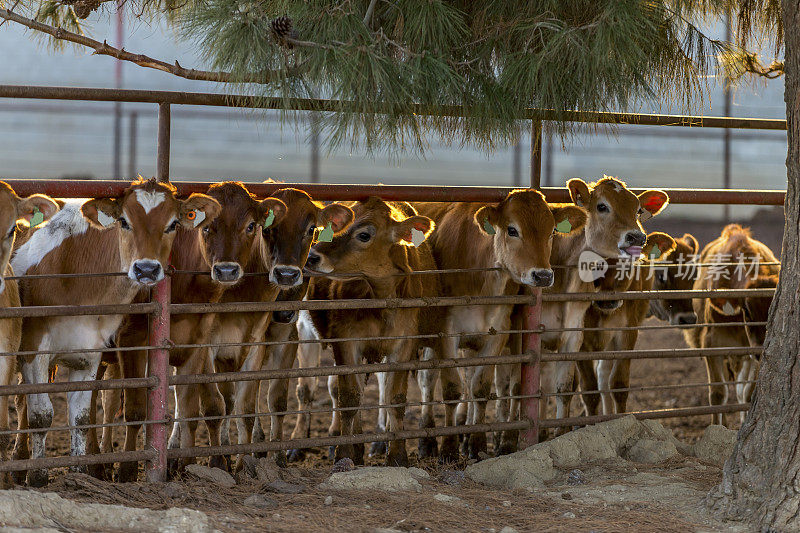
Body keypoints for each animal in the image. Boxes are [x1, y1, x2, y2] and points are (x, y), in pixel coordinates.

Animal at [12, 179, 219, 486]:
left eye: (172, 224)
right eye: (124, 221)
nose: (146, 269)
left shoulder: (88, 355)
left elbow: (81, 417)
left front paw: (79, 473)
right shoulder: (33, 350)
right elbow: (41, 415)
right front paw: (38, 476)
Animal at [416, 188, 584, 458]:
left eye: (552, 232)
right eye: (512, 230)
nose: (543, 275)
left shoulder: (498, 332)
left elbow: (480, 388)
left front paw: (476, 444)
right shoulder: (447, 332)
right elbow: (451, 388)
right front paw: (449, 448)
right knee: (426, 380)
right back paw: (424, 440)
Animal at [684, 222, 780, 426]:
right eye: (748, 311)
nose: (760, 350)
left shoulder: (753, 353)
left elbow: (748, 393)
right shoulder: (711, 344)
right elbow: (718, 394)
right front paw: (717, 427)